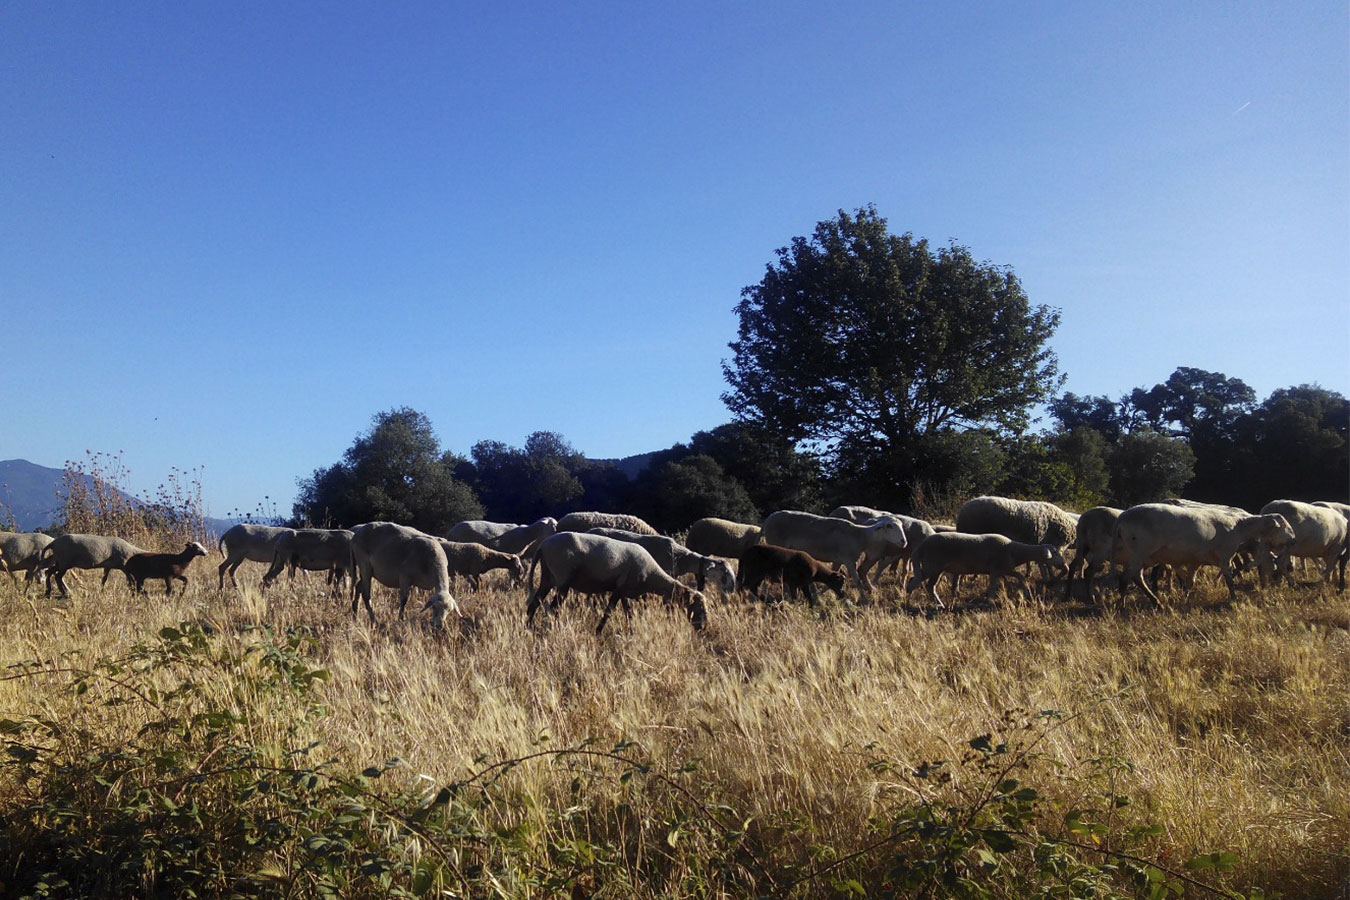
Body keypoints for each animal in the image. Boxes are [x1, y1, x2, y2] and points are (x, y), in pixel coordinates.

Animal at [523, 534, 707, 634]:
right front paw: (598, 632)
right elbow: (609, 611)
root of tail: (543, 545)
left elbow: (629, 613)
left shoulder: (625, 590)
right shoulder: (618, 589)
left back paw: (528, 628)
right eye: (698, 607)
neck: (651, 576)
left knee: (534, 604)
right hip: (563, 579)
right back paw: (550, 629)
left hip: (548, 577)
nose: (703, 628)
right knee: (553, 608)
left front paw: (631, 632)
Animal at [761, 507, 907, 599]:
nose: (904, 541)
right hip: (777, 546)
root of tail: (768, 519)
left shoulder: (838, 559)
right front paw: (864, 600)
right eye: (889, 526)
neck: (860, 536)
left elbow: (833, 576)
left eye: (901, 525)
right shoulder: (848, 559)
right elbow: (857, 581)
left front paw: (819, 595)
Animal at [907, 531, 1063, 609]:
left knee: (926, 584)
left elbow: (1020, 576)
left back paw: (938, 604)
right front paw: (991, 601)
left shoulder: (1004, 569)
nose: (1063, 563)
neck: (1013, 550)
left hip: (935, 568)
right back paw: (908, 601)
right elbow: (993, 585)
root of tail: (921, 546)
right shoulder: (995, 570)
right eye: (1054, 552)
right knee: (916, 582)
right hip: (933, 566)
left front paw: (1025, 593)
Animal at [1107, 504, 1296, 609]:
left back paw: (1141, 602)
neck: (1239, 526)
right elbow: (1229, 579)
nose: (1294, 539)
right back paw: (1134, 603)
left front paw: (1187, 599)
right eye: (1284, 525)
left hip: (1135, 554)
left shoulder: (1195, 561)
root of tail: (1122, 516)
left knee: (1130, 576)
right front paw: (1234, 599)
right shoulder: (1225, 556)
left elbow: (1191, 582)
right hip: (1140, 551)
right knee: (1130, 576)